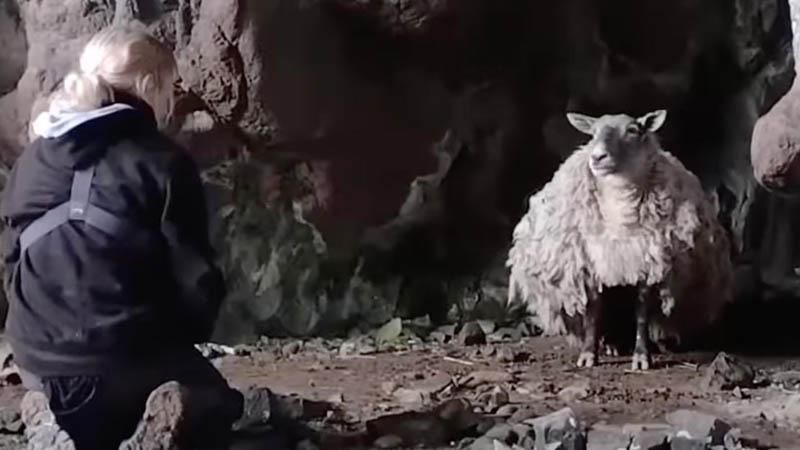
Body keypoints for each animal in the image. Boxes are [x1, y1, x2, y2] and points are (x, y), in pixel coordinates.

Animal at [507, 110, 733, 371]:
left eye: (633, 130)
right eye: (593, 133)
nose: (597, 157)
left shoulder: (648, 264)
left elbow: (641, 313)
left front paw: (642, 356)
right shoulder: (590, 265)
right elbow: (593, 312)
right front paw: (588, 355)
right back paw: (610, 345)